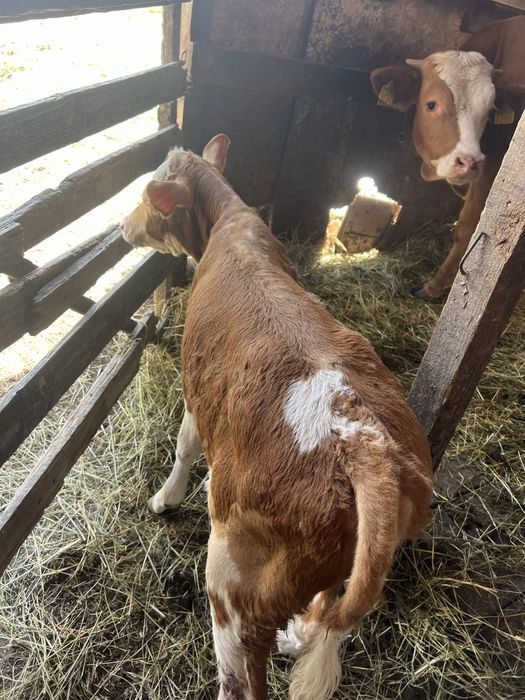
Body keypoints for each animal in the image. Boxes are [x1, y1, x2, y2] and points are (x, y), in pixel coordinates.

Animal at [120, 134, 433, 700]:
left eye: (148, 196)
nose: (120, 226)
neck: (229, 224)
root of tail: (364, 440)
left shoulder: (197, 388)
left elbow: (184, 447)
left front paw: (165, 498)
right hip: (342, 564)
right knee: (327, 612)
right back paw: (297, 635)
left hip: (234, 583)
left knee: (242, 678)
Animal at [371, 15, 525, 299]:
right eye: (431, 104)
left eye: (490, 111)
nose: (470, 162)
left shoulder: (494, 166)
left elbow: (467, 227)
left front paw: (435, 286)